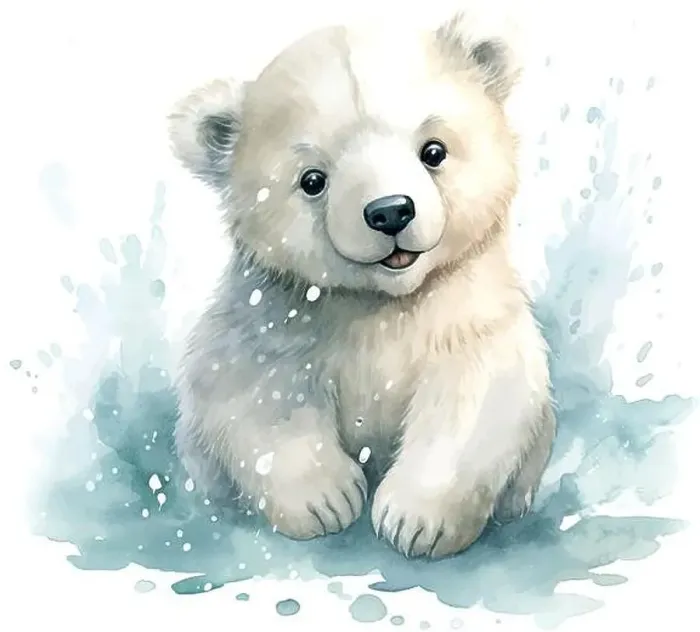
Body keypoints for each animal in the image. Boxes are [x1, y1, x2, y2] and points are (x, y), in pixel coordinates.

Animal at [168, 9, 556, 559]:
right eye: (313, 179)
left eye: (433, 150)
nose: (390, 211)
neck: (381, 301)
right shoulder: (274, 311)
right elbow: (253, 389)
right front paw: (327, 501)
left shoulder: (465, 308)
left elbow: (477, 395)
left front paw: (414, 522)